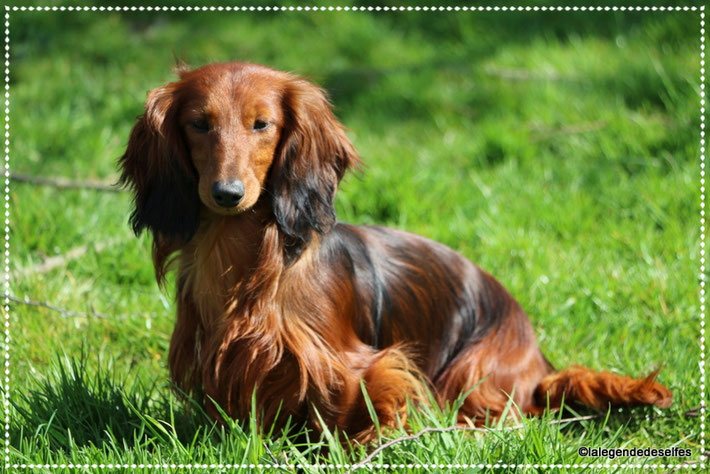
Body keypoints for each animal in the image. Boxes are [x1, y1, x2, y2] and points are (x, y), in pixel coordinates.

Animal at [119, 61, 676, 442]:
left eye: (262, 125)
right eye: (199, 123)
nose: (227, 193)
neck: (247, 260)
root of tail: (540, 364)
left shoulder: (361, 365)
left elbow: (357, 404)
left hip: (475, 373)